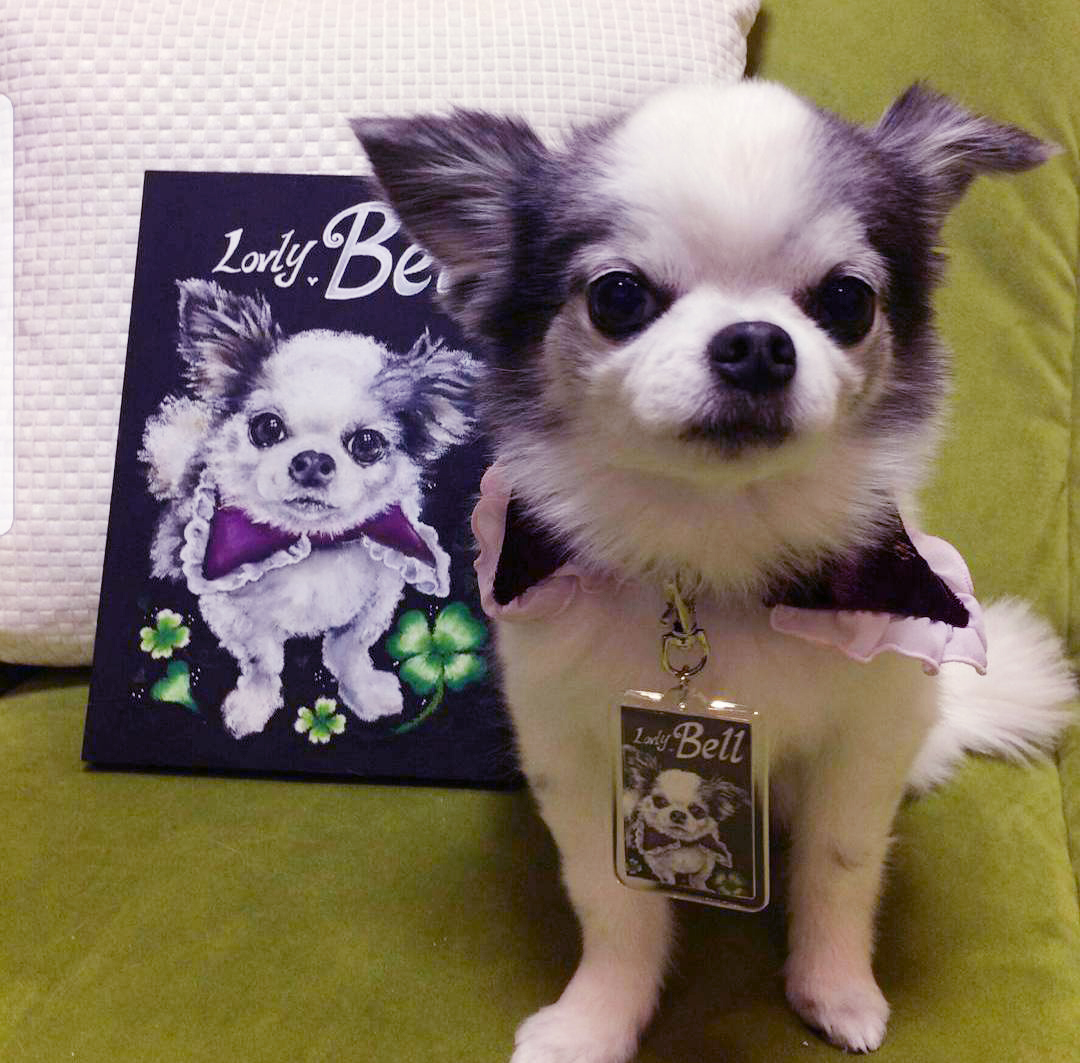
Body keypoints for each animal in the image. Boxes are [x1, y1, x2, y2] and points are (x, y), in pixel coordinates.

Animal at [140, 278, 480, 738]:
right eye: (266, 428)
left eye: (367, 443)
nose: (313, 461)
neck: (313, 543)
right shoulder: (231, 610)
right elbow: (262, 661)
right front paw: (253, 706)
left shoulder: (375, 600)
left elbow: (349, 649)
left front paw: (365, 694)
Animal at [353, 81, 1077, 1058]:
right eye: (619, 297)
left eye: (847, 300)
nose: (757, 341)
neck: (716, 555)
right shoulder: (574, 749)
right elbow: (612, 902)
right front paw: (596, 1019)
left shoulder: (867, 736)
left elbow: (842, 865)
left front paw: (834, 988)